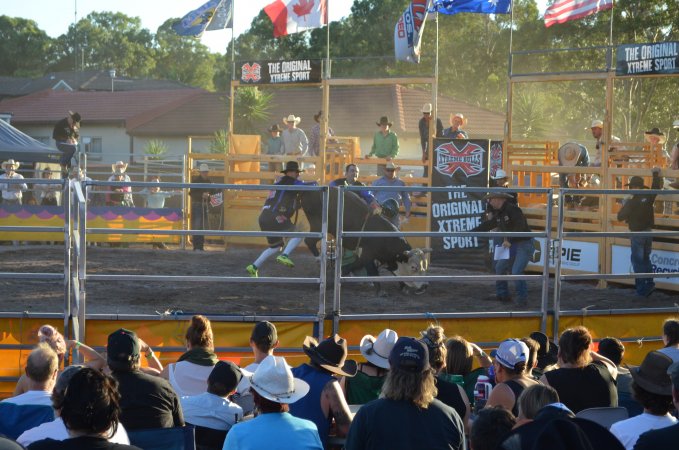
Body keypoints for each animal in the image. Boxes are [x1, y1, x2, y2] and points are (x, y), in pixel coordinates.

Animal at [298, 189, 428, 292]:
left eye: (425, 266)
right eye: (413, 267)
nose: (425, 286)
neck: (384, 237)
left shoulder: (386, 258)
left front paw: (402, 286)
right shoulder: (367, 254)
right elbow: (368, 270)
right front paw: (380, 291)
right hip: (317, 224)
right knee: (309, 241)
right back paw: (319, 259)